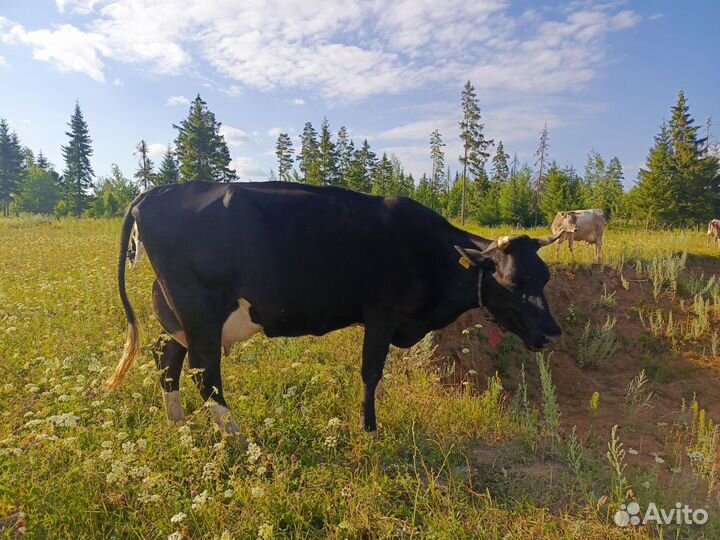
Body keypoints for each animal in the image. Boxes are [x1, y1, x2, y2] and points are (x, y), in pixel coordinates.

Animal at [104, 181, 563, 436]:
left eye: (544, 277)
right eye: (512, 282)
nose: (553, 333)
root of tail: (154, 192)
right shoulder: (381, 314)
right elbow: (371, 373)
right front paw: (370, 429)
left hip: (180, 315)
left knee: (166, 355)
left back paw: (178, 424)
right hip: (199, 310)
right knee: (205, 374)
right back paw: (238, 439)